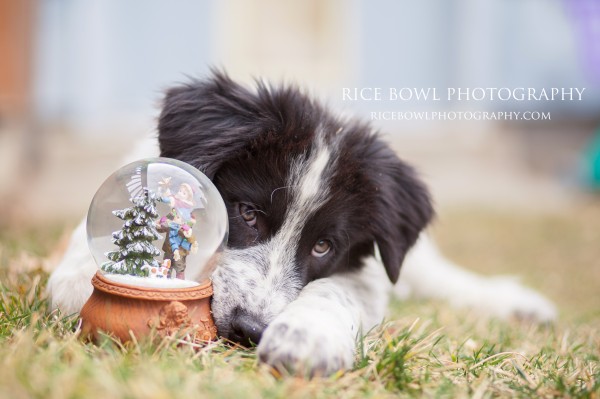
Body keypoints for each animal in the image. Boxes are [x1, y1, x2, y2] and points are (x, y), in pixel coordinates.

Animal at [48, 71, 556, 378]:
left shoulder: (366, 275)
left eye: (323, 247)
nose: (249, 330)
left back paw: (519, 304)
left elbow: (332, 290)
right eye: (247, 214)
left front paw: (305, 337)